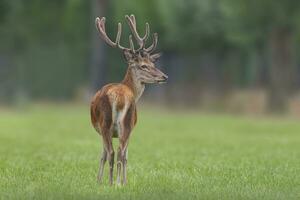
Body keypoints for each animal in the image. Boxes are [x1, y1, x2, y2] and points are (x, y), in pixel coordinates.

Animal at [90, 14, 168, 186]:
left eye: (152, 63)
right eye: (144, 66)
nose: (164, 76)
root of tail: (119, 97)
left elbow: (106, 155)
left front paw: (100, 181)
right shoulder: (131, 128)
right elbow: (123, 156)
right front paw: (116, 181)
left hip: (110, 124)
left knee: (114, 152)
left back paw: (113, 183)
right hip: (123, 124)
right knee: (117, 152)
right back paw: (115, 183)